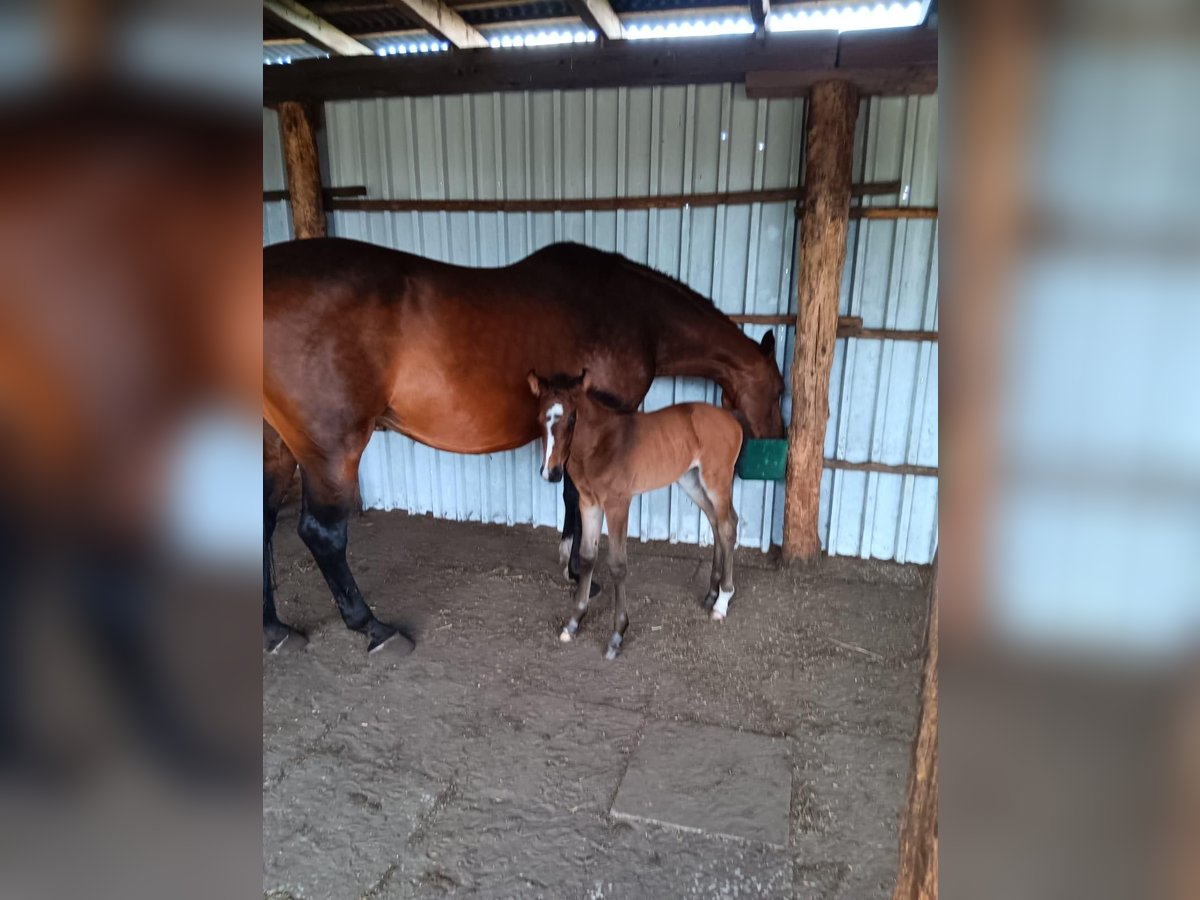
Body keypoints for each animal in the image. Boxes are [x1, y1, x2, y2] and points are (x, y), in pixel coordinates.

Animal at [532, 369, 744, 657]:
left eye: (572, 417)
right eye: (538, 418)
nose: (551, 473)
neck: (599, 444)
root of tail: (732, 420)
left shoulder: (617, 504)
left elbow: (618, 565)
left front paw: (617, 635)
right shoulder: (588, 503)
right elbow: (587, 557)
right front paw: (574, 623)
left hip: (716, 481)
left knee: (728, 525)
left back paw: (722, 601)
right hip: (691, 480)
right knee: (715, 523)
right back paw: (712, 593)